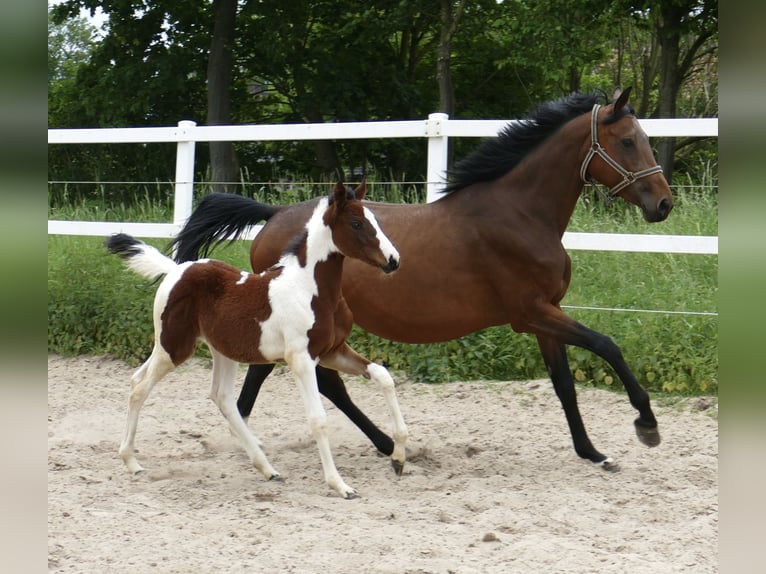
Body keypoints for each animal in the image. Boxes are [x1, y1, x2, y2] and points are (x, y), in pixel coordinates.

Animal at [109, 181, 408, 500]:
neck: (311, 290)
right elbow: (318, 419)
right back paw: (131, 462)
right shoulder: (301, 359)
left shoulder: (332, 351)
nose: (393, 260)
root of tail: (177, 269)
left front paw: (398, 458)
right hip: (174, 347)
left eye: (375, 220)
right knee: (140, 387)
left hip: (218, 350)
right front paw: (340, 485)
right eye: (356, 223)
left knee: (219, 397)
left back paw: (268, 469)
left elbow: (382, 375)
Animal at [172, 86, 672, 472]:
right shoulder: (531, 312)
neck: (520, 214)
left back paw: (381, 444)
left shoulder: (547, 314)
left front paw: (593, 452)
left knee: (322, 382)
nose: (663, 204)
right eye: (628, 141)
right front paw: (646, 425)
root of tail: (273, 214)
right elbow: (608, 345)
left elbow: (565, 384)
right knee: (280, 381)